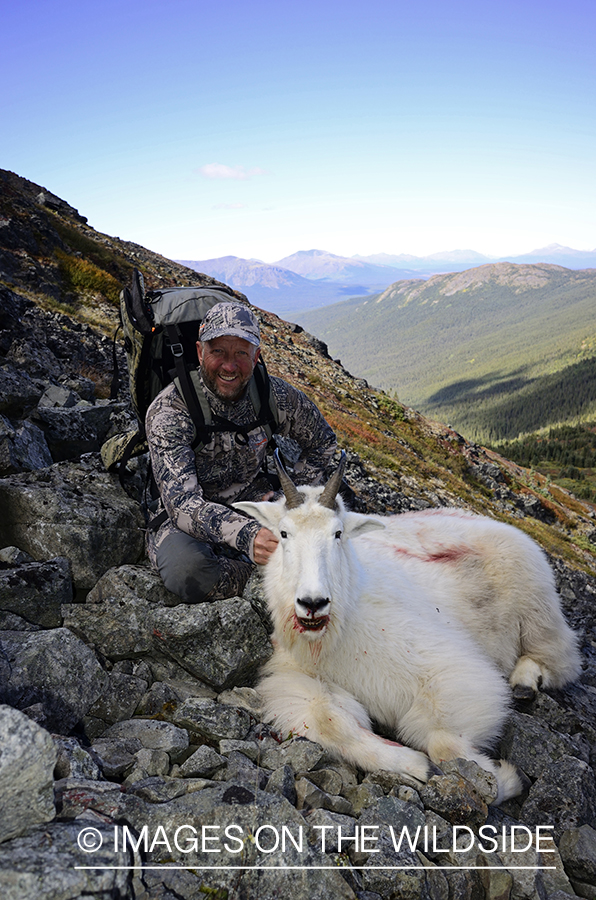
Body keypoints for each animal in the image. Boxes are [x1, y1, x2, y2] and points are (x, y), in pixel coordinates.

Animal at [234, 454, 584, 804]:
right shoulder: (296, 675)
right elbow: (328, 720)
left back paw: (525, 683)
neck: (339, 630)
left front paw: (509, 777)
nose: (313, 602)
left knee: (560, 657)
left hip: (536, 608)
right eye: (283, 533)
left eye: (337, 534)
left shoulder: (445, 668)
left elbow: (447, 745)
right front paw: (416, 765)